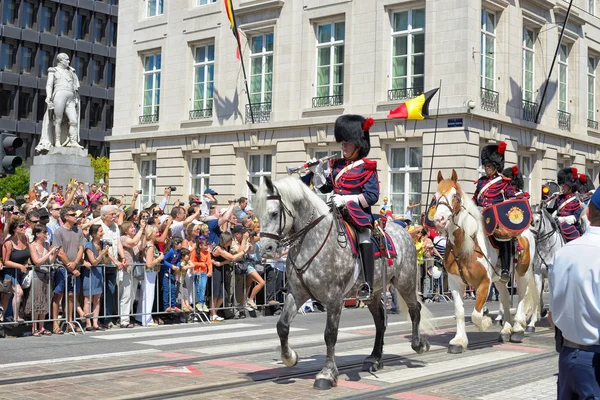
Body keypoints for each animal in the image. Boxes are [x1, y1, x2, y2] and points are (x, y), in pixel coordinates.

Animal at [246, 177, 434, 390]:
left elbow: (330, 334)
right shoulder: (297, 293)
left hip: (405, 282)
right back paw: (375, 359)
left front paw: (327, 374)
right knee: (380, 321)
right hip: (374, 292)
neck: (311, 241)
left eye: (274, 213)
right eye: (257, 214)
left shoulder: (334, 299)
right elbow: (282, 326)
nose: (266, 249)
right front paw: (290, 357)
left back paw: (419, 344)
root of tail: (404, 231)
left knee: (415, 309)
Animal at [432, 169, 540, 354]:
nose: (439, 219)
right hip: (500, 279)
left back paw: (517, 328)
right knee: (505, 298)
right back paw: (506, 330)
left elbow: (476, 314)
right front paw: (458, 341)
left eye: (455, 195)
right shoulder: (455, 283)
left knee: (522, 295)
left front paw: (485, 322)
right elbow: (459, 311)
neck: (464, 246)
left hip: (522, 272)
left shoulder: (484, 282)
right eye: (436, 195)